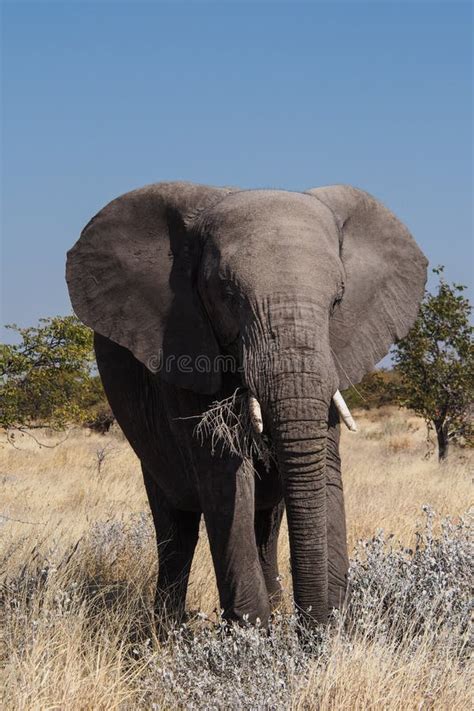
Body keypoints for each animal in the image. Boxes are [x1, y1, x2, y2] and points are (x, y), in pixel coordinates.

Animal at [65, 182, 426, 628]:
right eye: (228, 296)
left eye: (338, 299)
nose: (313, 626)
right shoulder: (183, 341)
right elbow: (225, 480)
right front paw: (252, 632)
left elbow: (324, 467)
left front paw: (327, 628)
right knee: (176, 526)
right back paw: (165, 629)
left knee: (266, 520)